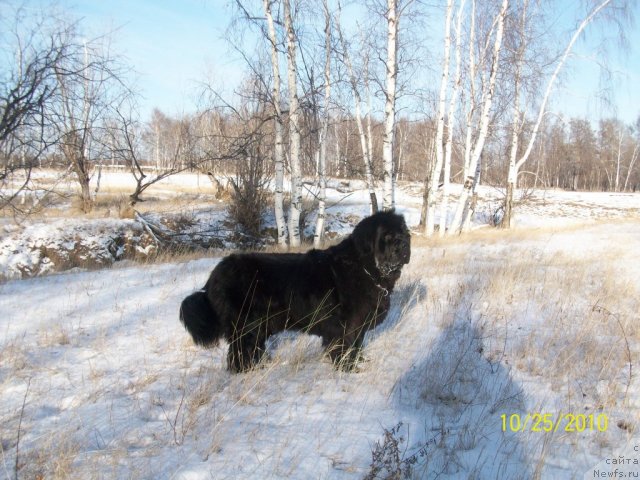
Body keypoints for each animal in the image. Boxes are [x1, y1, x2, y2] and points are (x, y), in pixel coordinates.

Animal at [178, 209, 412, 372]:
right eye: (387, 237)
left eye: (403, 234)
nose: (403, 247)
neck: (366, 268)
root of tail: (214, 275)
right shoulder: (345, 325)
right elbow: (345, 347)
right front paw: (348, 369)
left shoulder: (359, 325)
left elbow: (357, 345)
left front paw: (359, 361)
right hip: (245, 324)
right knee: (240, 351)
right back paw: (245, 371)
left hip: (258, 325)